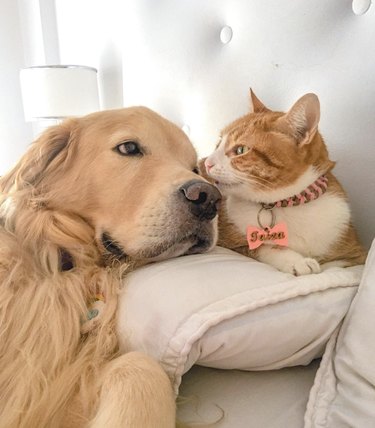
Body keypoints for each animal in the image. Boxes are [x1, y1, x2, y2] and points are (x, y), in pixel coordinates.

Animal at [203, 90, 368, 276]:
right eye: (218, 143)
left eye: (240, 150)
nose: (207, 163)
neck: (287, 205)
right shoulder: (234, 243)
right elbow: (265, 247)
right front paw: (299, 261)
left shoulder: (356, 255)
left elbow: (334, 267)